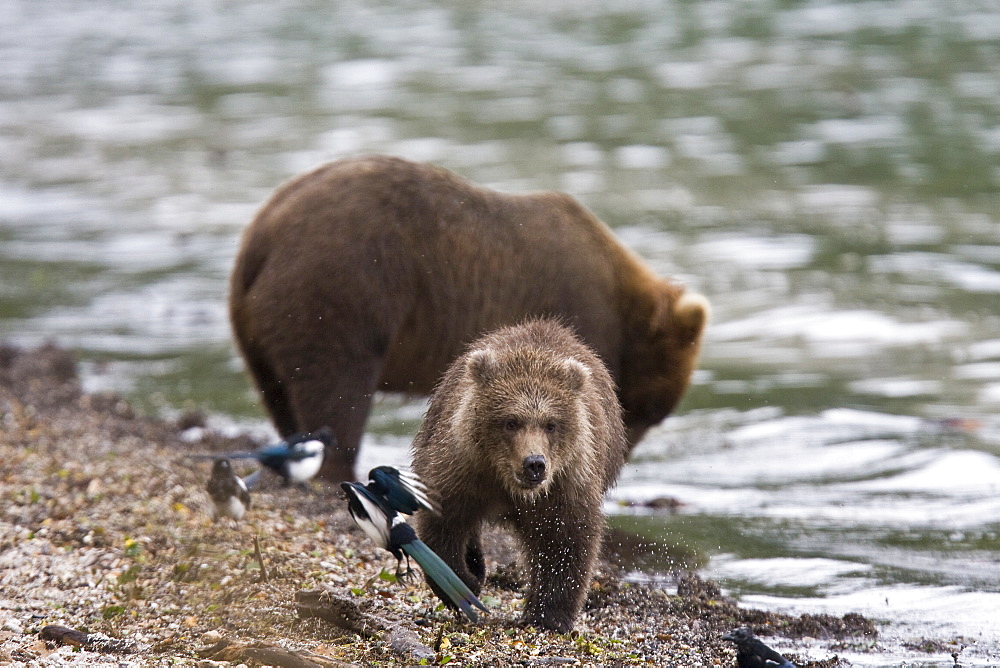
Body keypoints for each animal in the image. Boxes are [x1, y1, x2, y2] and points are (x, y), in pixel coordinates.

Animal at [230, 157, 708, 480]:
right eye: (644, 410)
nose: (615, 462)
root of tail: (264, 232)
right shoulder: (578, 309)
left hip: (258, 326)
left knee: (281, 393)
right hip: (342, 287)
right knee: (336, 387)